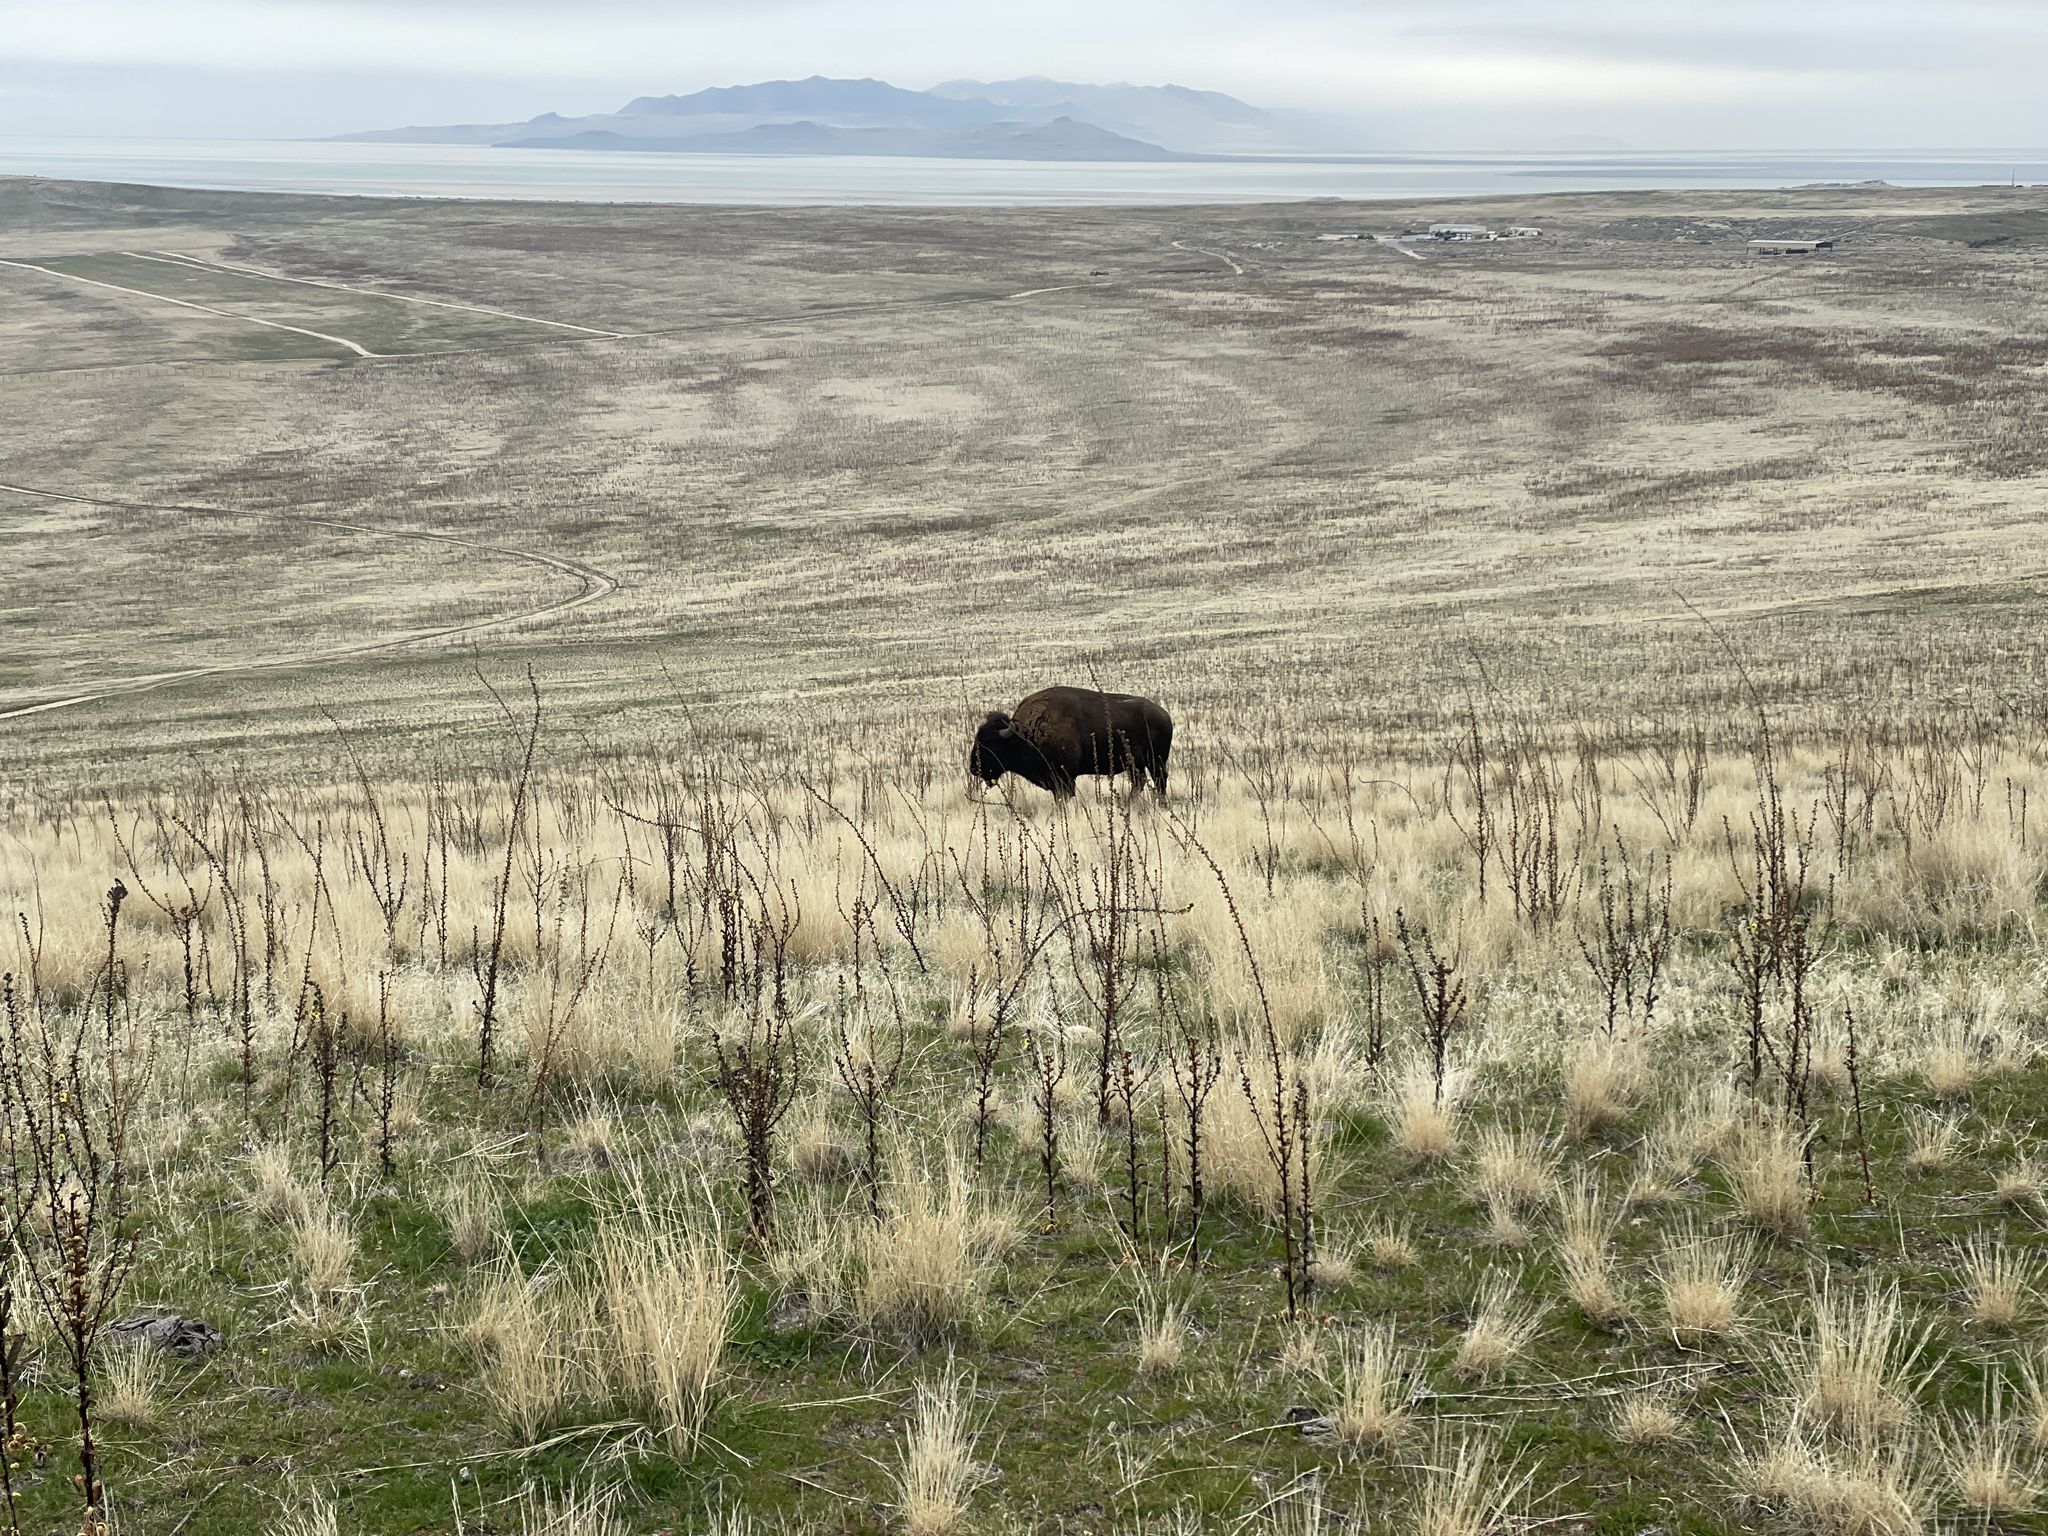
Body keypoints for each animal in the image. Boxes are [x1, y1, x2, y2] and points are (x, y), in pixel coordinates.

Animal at [969, 686, 1173, 799]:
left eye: (991, 744)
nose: (973, 768)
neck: (1025, 735)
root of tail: (1164, 715)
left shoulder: (1065, 779)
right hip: (1136, 764)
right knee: (1141, 782)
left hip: (1156, 760)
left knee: (1159, 780)